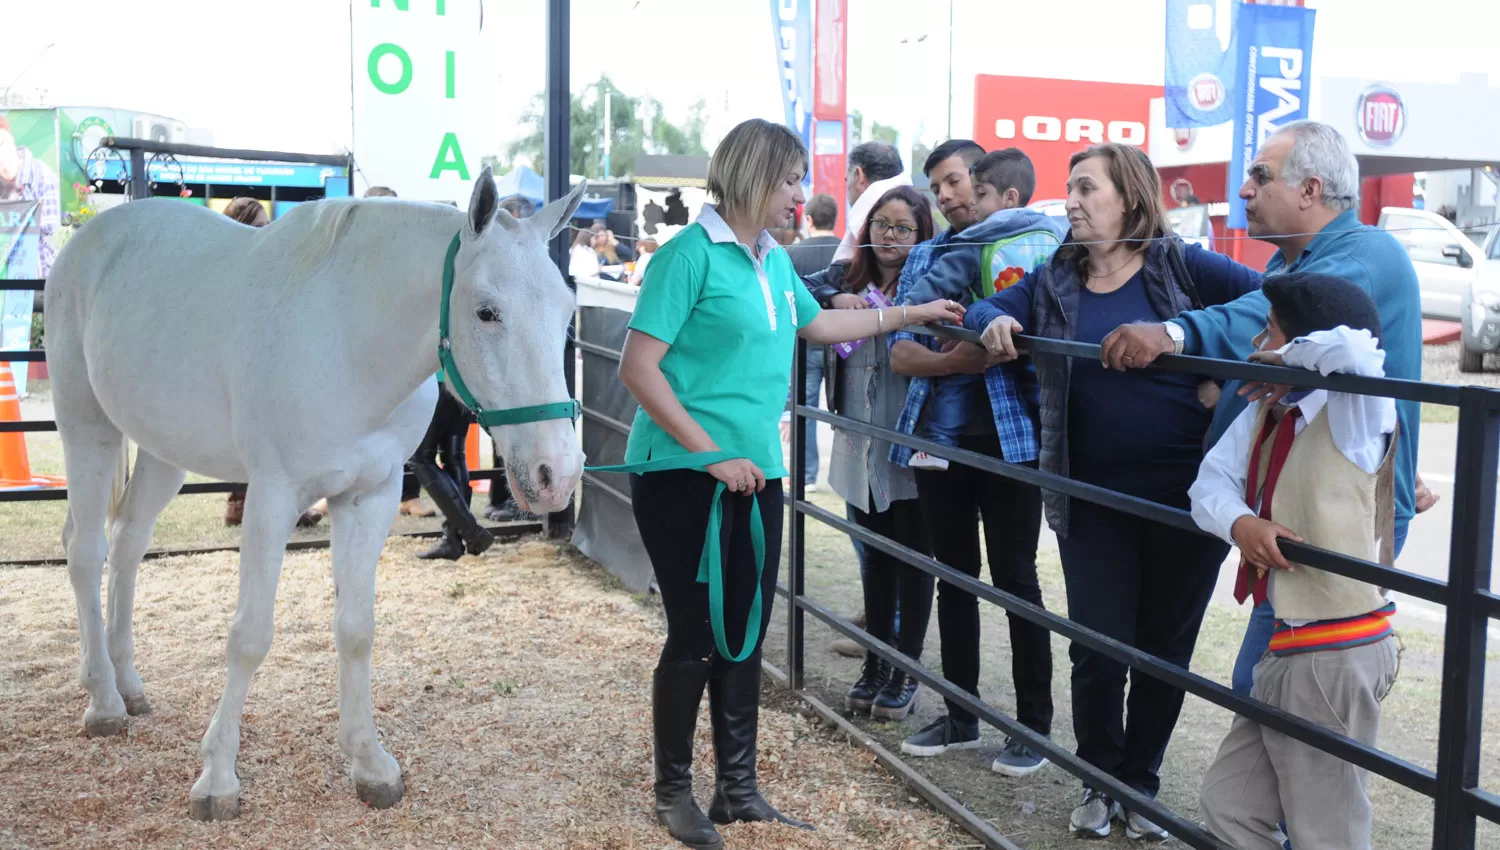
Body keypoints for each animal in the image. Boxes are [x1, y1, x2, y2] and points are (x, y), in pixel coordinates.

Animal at [46, 169, 585, 821]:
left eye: (567, 311)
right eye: (486, 311)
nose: (559, 473)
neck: (348, 343)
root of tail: (89, 239)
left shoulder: (370, 497)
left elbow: (356, 629)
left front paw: (370, 763)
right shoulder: (274, 497)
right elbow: (249, 636)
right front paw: (218, 777)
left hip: (162, 450)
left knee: (127, 543)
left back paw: (128, 683)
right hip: (87, 428)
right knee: (85, 550)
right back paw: (103, 700)